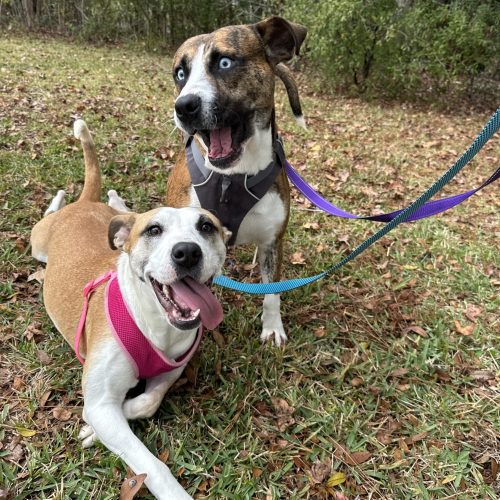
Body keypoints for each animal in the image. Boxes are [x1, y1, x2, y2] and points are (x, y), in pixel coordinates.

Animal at [32, 119, 230, 498]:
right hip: (38, 243)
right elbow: (151, 465)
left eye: (206, 227)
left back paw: (114, 199)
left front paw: (98, 426)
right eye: (154, 230)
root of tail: (84, 203)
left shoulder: (169, 371)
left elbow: (147, 401)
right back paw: (61, 199)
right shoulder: (100, 402)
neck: (154, 323)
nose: (187, 252)